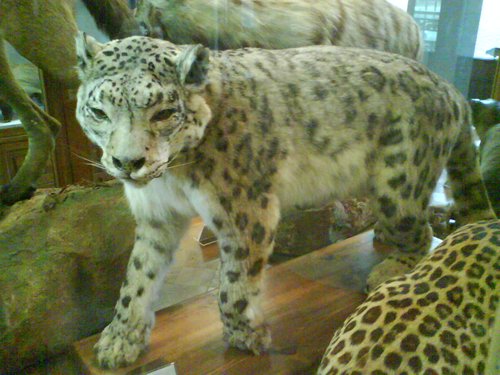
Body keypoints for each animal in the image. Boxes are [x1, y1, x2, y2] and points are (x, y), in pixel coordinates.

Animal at [75, 33, 496, 368]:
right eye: (98, 111)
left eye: (163, 112)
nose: (127, 162)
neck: (174, 179)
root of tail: (452, 89)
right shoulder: (156, 218)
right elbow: (137, 277)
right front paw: (119, 339)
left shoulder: (245, 214)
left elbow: (233, 285)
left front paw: (246, 335)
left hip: (400, 184)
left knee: (421, 232)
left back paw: (389, 269)